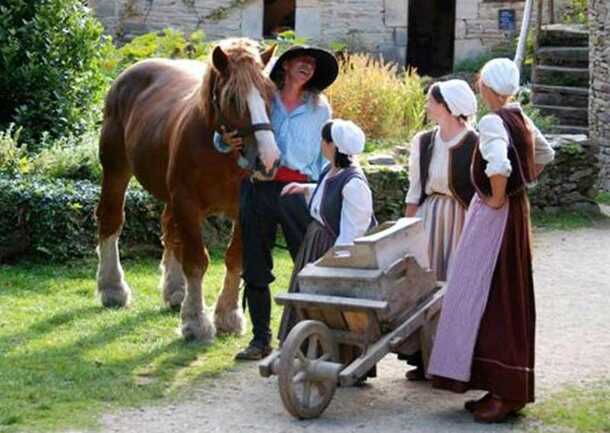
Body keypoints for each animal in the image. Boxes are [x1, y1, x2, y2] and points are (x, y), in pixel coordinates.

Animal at [94, 38, 278, 340]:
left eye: (269, 96)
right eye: (232, 99)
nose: (268, 158)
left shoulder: (242, 210)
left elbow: (234, 259)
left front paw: (227, 316)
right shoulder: (187, 203)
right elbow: (196, 261)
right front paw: (195, 321)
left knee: (169, 230)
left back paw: (175, 289)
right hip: (115, 170)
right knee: (111, 220)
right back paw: (113, 288)